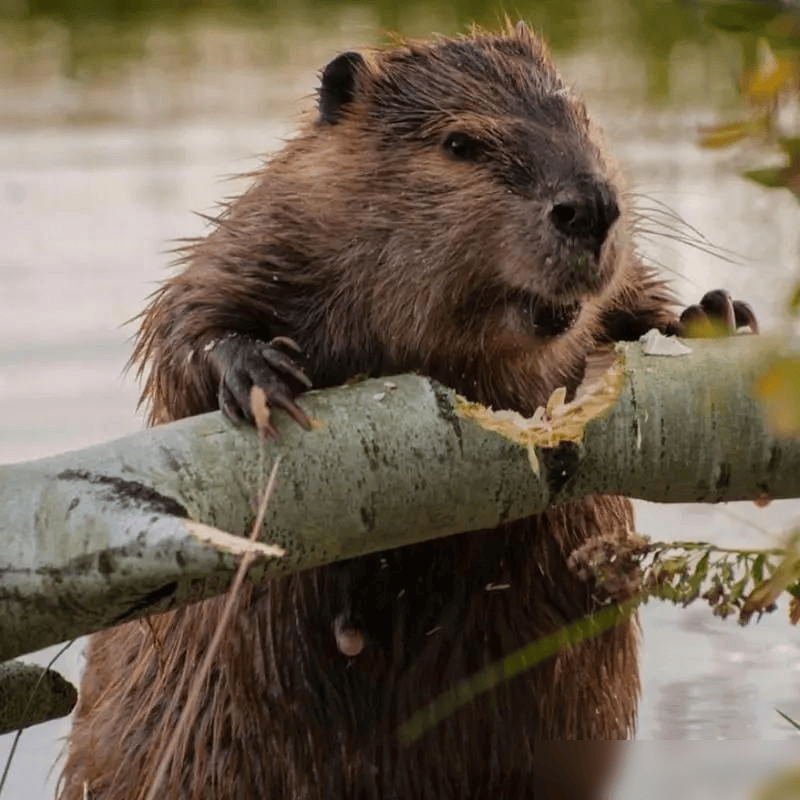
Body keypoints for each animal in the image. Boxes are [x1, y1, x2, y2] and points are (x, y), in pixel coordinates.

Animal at [57, 21, 756, 800]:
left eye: (581, 113)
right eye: (460, 143)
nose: (590, 208)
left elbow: (631, 298)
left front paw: (713, 312)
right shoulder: (270, 232)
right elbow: (186, 320)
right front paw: (259, 371)